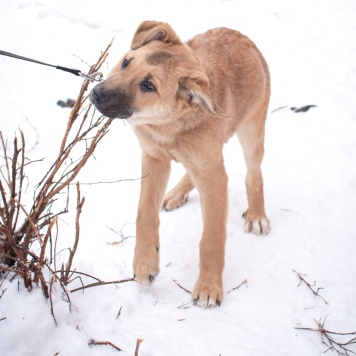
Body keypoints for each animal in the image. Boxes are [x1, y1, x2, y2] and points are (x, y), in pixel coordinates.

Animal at [90, 20, 272, 308]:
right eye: (126, 62)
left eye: (149, 85)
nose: (96, 93)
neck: (171, 124)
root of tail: (241, 36)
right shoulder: (154, 158)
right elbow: (144, 213)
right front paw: (144, 263)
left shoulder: (212, 175)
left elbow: (211, 238)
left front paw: (208, 287)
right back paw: (176, 193)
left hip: (252, 133)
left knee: (254, 173)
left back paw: (256, 215)